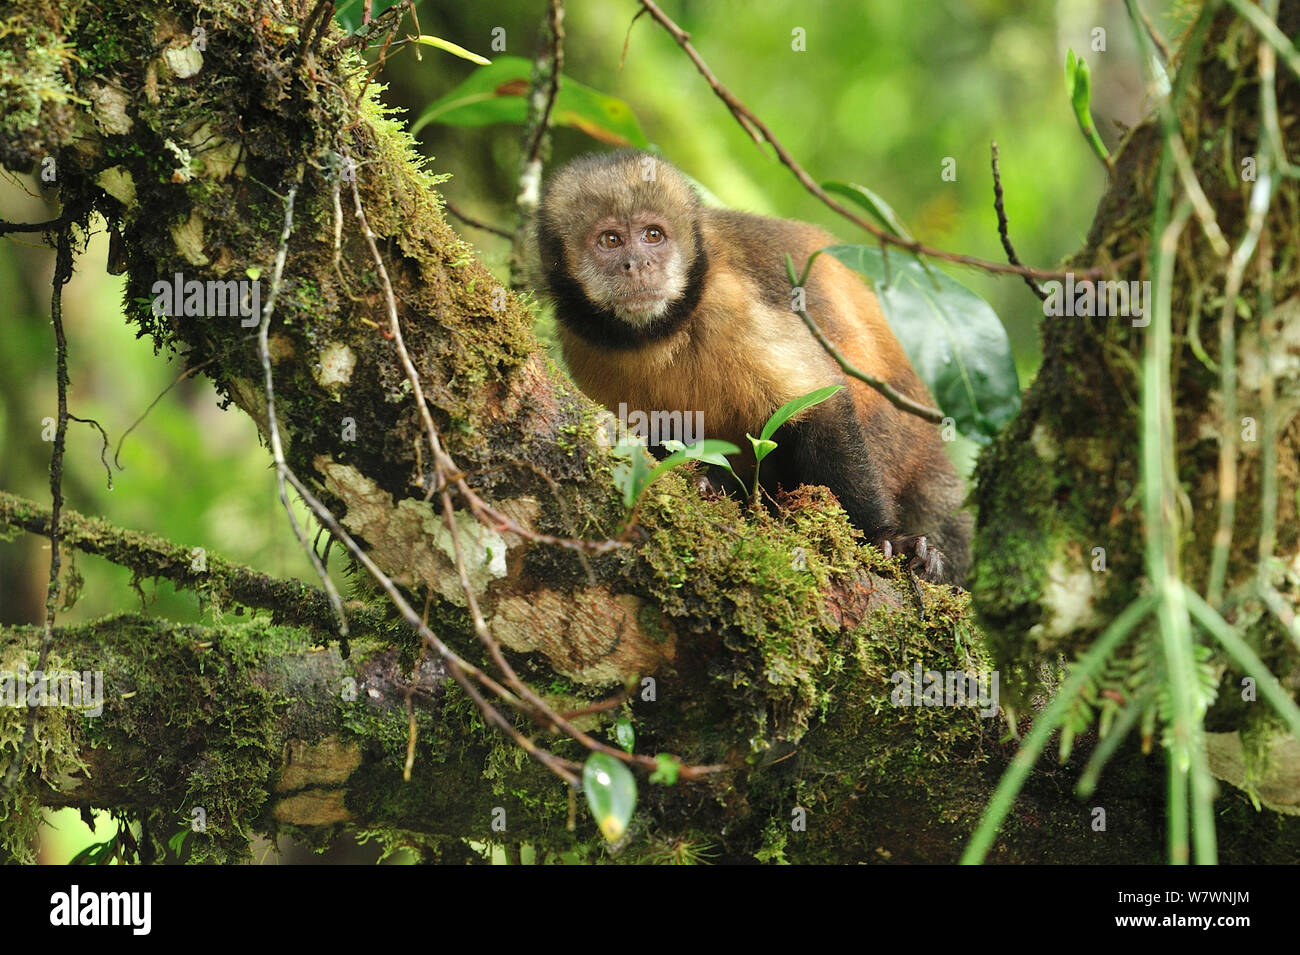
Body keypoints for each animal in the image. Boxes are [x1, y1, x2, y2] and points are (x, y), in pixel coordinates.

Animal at [535, 150, 972, 584]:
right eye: (610, 240)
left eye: (653, 235)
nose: (637, 263)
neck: (658, 335)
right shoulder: (582, 346)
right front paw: (700, 477)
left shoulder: (730, 301)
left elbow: (820, 404)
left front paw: (883, 537)